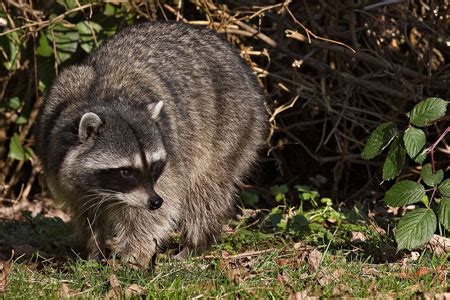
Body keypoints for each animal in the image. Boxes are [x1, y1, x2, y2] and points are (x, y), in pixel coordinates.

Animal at [37, 22, 268, 268]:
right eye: (126, 171)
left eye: (155, 165)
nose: (155, 201)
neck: (102, 97)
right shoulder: (54, 147)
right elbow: (86, 212)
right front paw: (94, 250)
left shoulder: (170, 163)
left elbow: (155, 212)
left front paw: (134, 254)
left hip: (234, 124)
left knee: (207, 189)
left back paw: (196, 243)